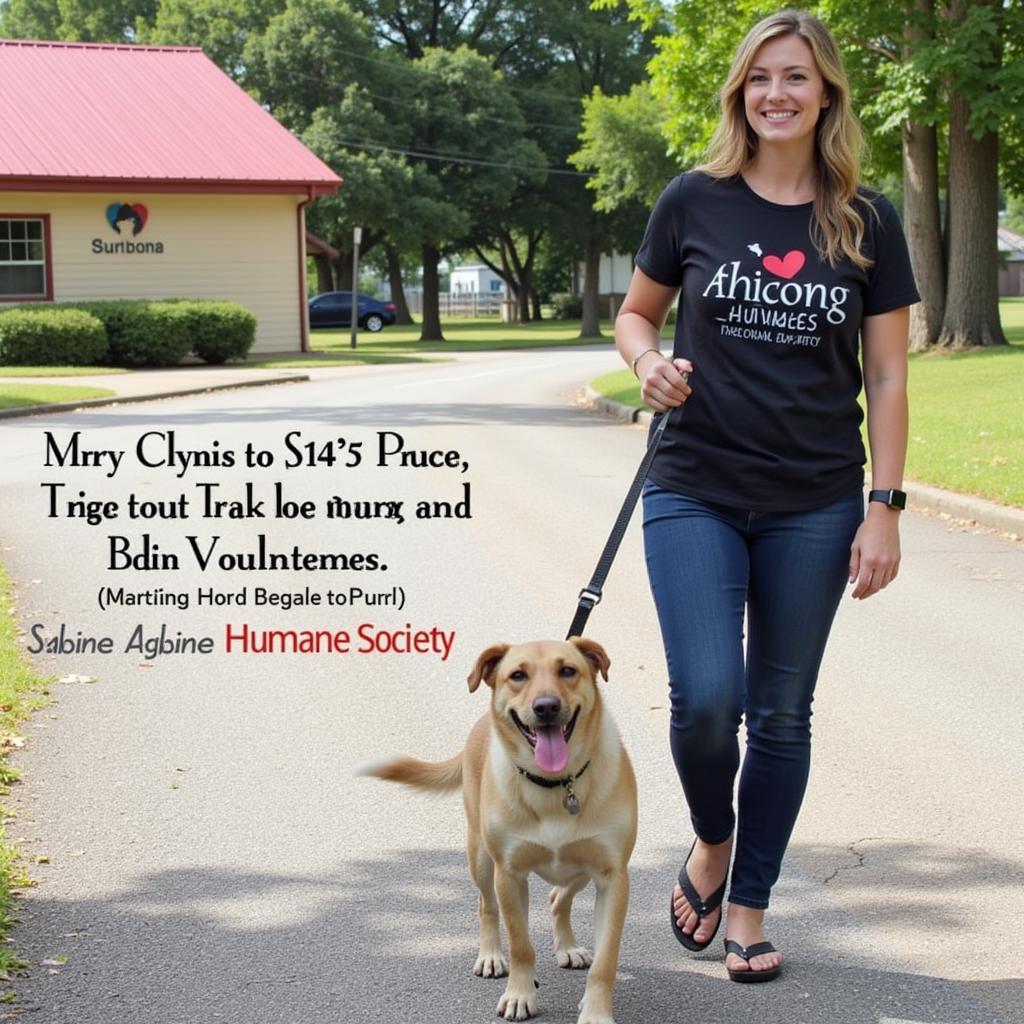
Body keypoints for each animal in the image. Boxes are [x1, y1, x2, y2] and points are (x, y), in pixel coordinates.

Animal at [356, 638, 634, 1024]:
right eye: (517, 675)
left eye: (568, 670)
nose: (546, 707)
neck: (555, 785)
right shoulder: (509, 874)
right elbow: (520, 945)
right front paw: (519, 994)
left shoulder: (613, 877)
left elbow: (605, 962)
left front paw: (595, 1013)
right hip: (481, 858)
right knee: (486, 906)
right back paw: (490, 955)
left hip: (580, 868)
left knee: (558, 897)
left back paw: (567, 946)